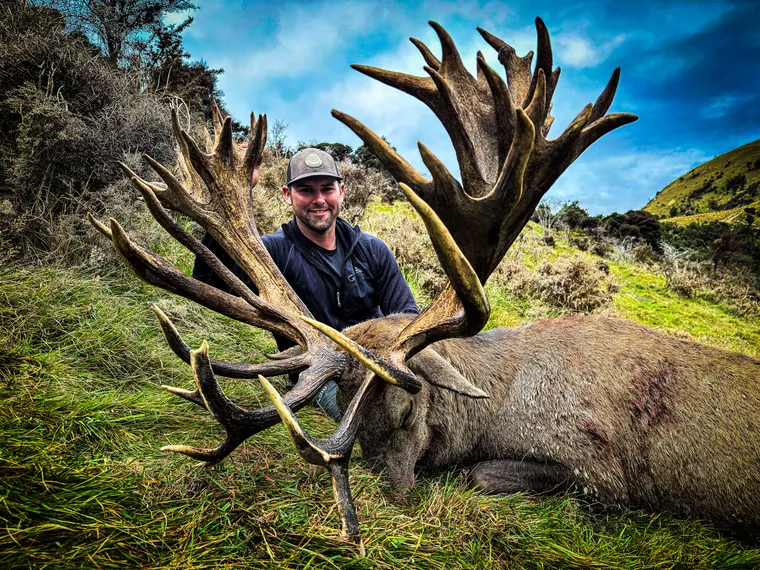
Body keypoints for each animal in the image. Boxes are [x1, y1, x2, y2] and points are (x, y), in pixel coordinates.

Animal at [88, 18, 760, 545]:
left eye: (412, 395)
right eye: (348, 406)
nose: (392, 492)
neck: (495, 404)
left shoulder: (600, 470)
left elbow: (482, 473)